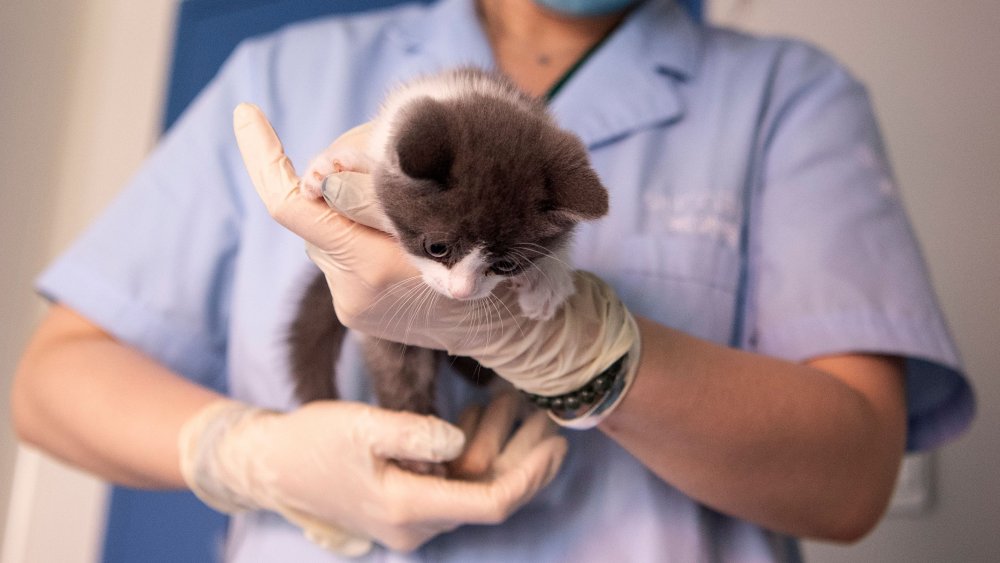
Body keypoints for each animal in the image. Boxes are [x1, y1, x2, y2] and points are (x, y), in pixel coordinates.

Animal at [286, 68, 604, 474]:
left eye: (505, 265)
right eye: (437, 248)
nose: (461, 292)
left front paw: (548, 279)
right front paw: (330, 167)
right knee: (402, 379)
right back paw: (422, 457)